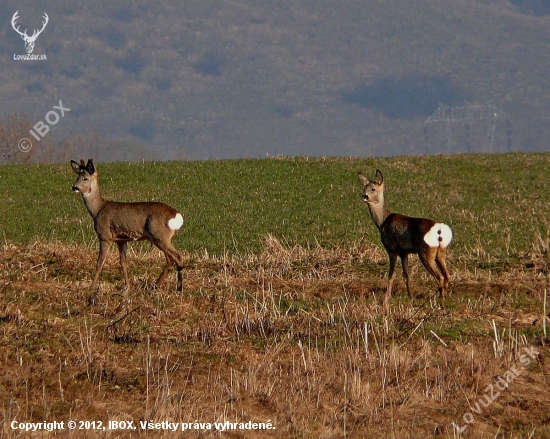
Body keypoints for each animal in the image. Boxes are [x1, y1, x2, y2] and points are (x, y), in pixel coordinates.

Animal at [71, 160, 185, 294]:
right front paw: (127, 288)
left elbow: (99, 263)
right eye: (77, 177)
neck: (98, 210)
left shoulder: (105, 236)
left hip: (159, 235)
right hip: (161, 237)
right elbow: (123, 263)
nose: (74, 187)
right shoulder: (121, 240)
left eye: (85, 178)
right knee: (171, 259)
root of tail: (177, 215)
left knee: (177, 256)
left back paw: (177, 288)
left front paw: (91, 288)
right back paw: (156, 286)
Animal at [360, 170, 454, 304]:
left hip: (426, 252)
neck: (383, 222)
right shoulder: (404, 252)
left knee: (440, 277)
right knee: (447, 275)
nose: (364, 196)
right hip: (441, 253)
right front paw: (410, 297)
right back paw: (444, 299)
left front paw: (386, 299)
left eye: (373, 189)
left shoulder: (392, 249)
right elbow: (406, 275)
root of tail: (439, 231)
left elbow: (391, 275)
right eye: (364, 187)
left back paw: (439, 301)